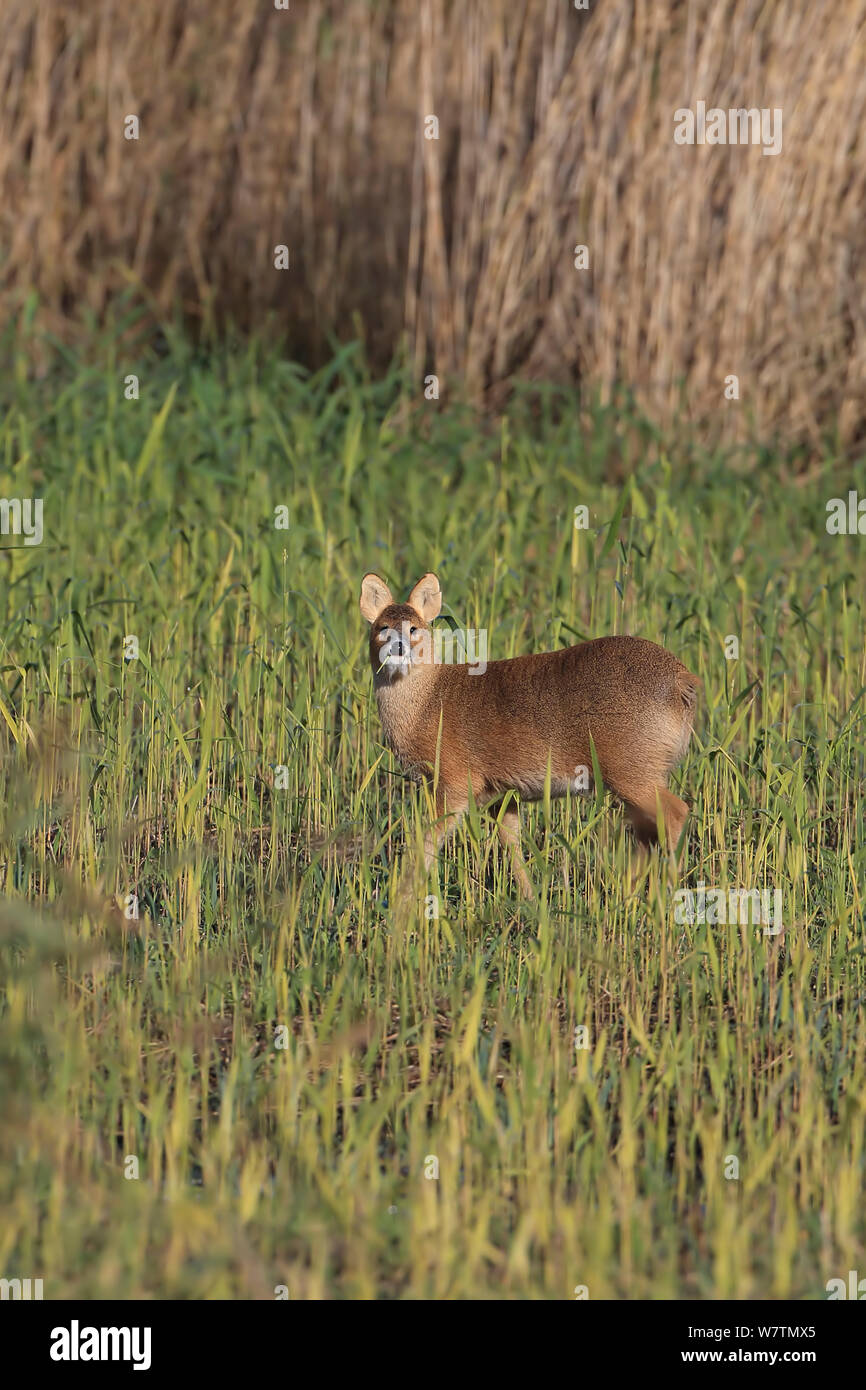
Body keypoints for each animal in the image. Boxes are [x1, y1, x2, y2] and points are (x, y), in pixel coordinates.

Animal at [358, 567, 697, 900]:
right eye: (382, 627)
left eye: (414, 628)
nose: (398, 647)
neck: (427, 703)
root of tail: (682, 681)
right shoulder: (501, 793)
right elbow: (511, 845)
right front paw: (531, 898)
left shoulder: (454, 779)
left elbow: (428, 840)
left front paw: (402, 898)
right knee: (649, 833)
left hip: (630, 767)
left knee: (676, 812)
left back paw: (669, 891)